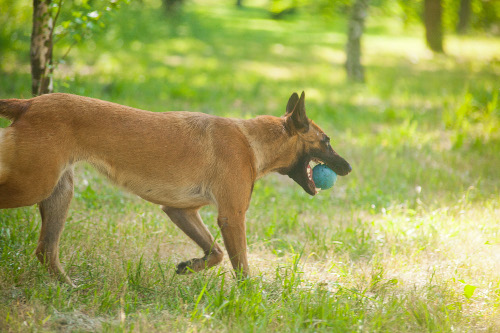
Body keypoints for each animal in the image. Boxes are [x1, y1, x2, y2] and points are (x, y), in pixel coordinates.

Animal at [0, 92, 352, 284]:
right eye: (326, 141)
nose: (348, 168)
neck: (251, 140)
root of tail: (28, 103)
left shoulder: (180, 210)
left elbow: (215, 253)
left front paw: (190, 266)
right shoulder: (232, 217)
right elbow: (240, 265)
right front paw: (248, 298)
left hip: (58, 193)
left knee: (46, 251)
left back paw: (69, 288)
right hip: (32, 184)